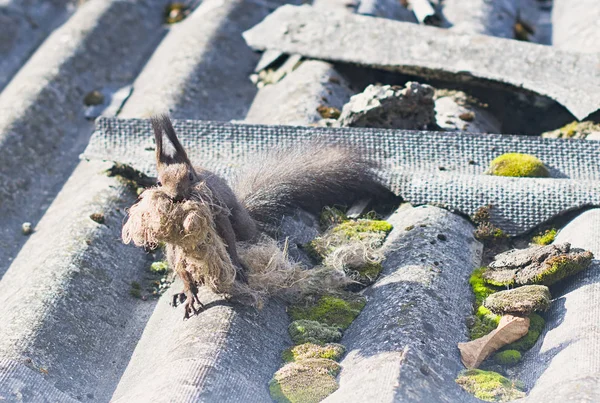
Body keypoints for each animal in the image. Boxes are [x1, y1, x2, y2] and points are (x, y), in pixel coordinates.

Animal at [122, 115, 394, 320]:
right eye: (158, 182)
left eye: (190, 176)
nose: (176, 197)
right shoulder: (174, 247)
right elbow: (182, 268)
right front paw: (189, 294)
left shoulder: (220, 214)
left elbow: (228, 240)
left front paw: (237, 266)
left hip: (242, 223)